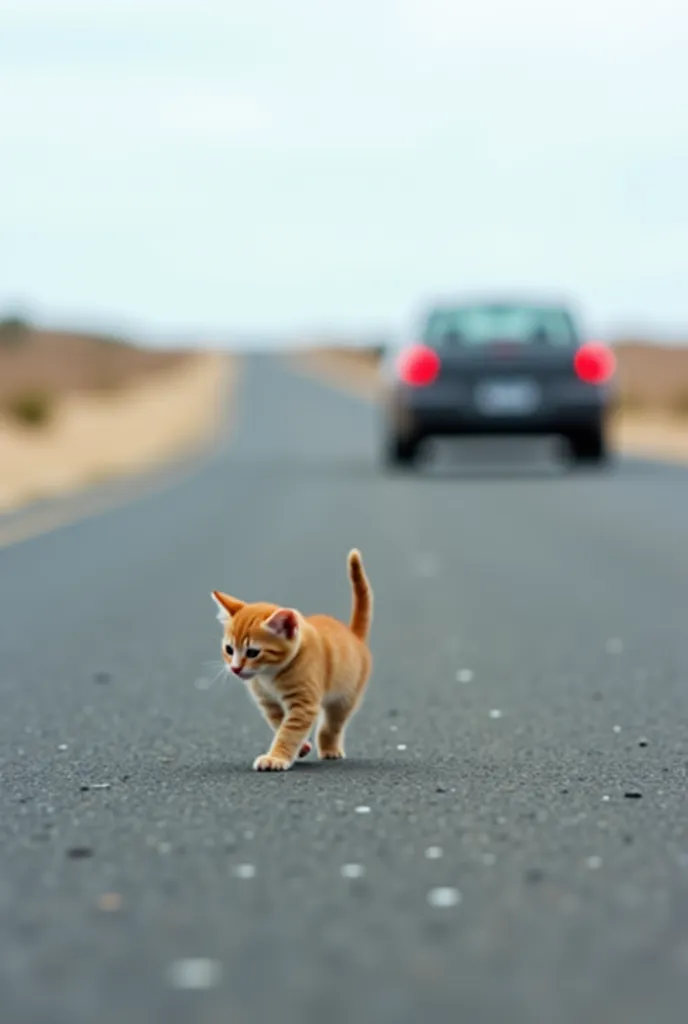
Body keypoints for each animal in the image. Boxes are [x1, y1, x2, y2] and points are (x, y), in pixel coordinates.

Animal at [211, 548, 372, 770]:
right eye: (229, 649)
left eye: (252, 652)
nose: (235, 668)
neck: (268, 677)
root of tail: (353, 634)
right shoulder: (269, 704)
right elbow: (280, 724)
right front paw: (301, 747)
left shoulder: (303, 704)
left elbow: (288, 732)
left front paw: (276, 757)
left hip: (345, 697)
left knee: (331, 725)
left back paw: (330, 748)